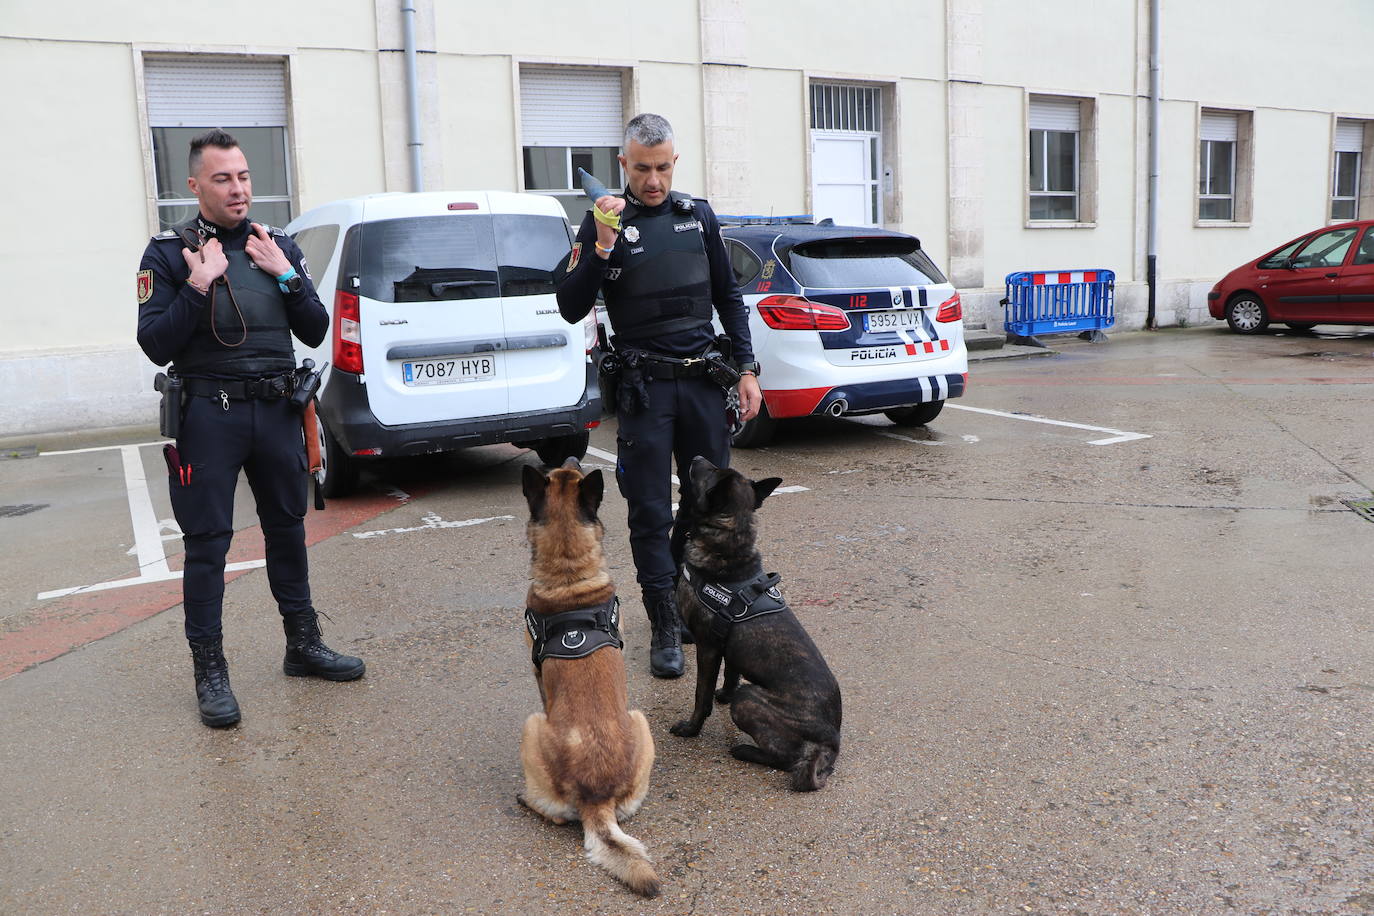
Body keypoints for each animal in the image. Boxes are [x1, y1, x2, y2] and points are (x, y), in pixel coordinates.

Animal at [519, 458, 659, 895]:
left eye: (568, 469)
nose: (575, 458)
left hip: (532, 725)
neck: (569, 574)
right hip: (639, 722)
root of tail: (595, 800)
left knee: (555, 814)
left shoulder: (536, 674)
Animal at [670, 455, 840, 791]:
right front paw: (723, 694)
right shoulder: (726, 646)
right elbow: (730, 674)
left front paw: (691, 728)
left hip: (749, 700)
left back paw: (745, 750)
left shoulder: (707, 648)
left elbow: (701, 696)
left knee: (786, 757)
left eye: (709, 471)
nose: (696, 458)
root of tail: (832, 741)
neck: (728, 546)